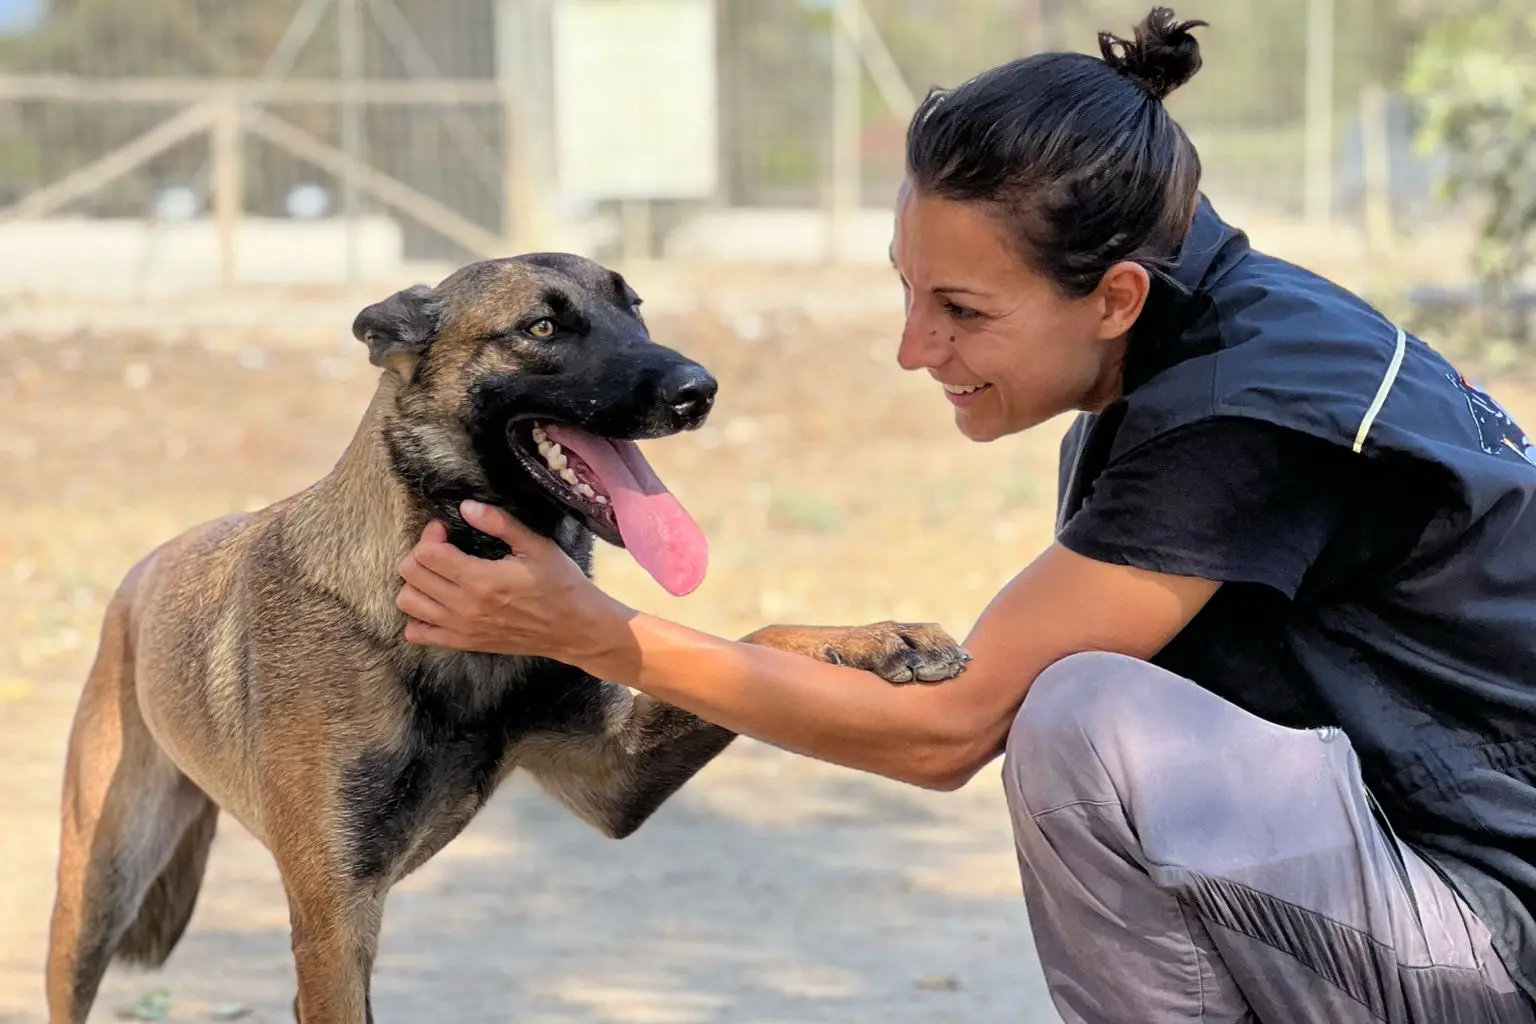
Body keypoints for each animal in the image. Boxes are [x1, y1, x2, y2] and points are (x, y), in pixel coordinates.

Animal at [44, 250, 970, 1024]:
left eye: (635, 308)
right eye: (542, 329)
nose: (700, 390)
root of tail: (145, 568)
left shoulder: (612, 780)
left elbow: (759, 636)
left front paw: (883, 639)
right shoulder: (334, 923)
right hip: (94, 896)